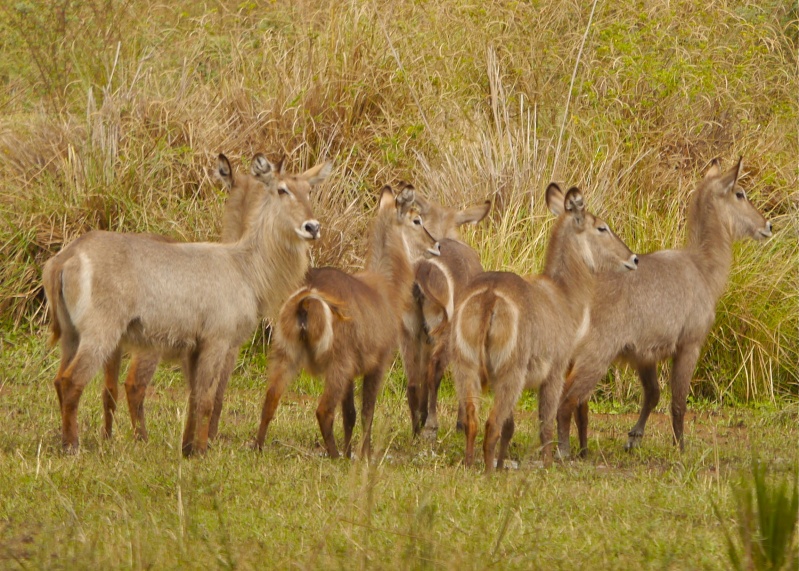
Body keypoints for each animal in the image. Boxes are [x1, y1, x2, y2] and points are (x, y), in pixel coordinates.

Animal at [43, 153, 332, 456]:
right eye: (282, 189)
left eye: (309, 190)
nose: (312, 227)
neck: (246, 267)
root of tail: (66, 257)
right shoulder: (218, 340)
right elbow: (207, 398)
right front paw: (202, 451)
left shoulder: (194, 347)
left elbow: (194, 397)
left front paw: (188, 447)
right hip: (101, 333)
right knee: (73, 380)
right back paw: (72, 446)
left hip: (71, 334)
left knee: (60, 379)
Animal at [256, 183, 440, 460]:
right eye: (416, 220)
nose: (437, 245)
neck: (386, 287)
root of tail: (307, 299)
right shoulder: (377, 363)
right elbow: (367, 413)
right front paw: (363, 454)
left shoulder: (354, 371)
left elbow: (350, 415)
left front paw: (349, 451)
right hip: (336, 363)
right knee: (323, 410)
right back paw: (333, 456)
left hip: (285, 353)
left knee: (270, 400)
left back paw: (257, 447)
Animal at [396, 197, 490, 438]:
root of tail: (422, 268)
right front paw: (461, 422)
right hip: (446, 331)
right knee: (434, 372)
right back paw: (431, 425)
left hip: (409, 331)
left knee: (413, 378)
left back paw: (416, 427)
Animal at [454, 184, 640, 474]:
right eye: (602, 227)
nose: (634, 258)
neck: (562, 293)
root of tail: (489, 294)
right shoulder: (555, 371)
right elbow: (545, 424)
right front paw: (549, 464)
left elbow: (511, 427)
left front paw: (503, 463)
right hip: (510, 373)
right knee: (491, 424)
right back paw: (487, 472)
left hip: (466, 367)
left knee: (473, 421)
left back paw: (470, 464)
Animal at [560, 158, 772, 460]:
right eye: (740, 193)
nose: (767, 224)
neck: (702, 268)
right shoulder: (689, 344)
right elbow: (678, 401)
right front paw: (680, 447)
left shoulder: (643, 354)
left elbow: (653, 394)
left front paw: (634, 438)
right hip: (596, 354)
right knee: (568, 398)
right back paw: (563, 451)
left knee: (577, 401)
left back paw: (582, 448)